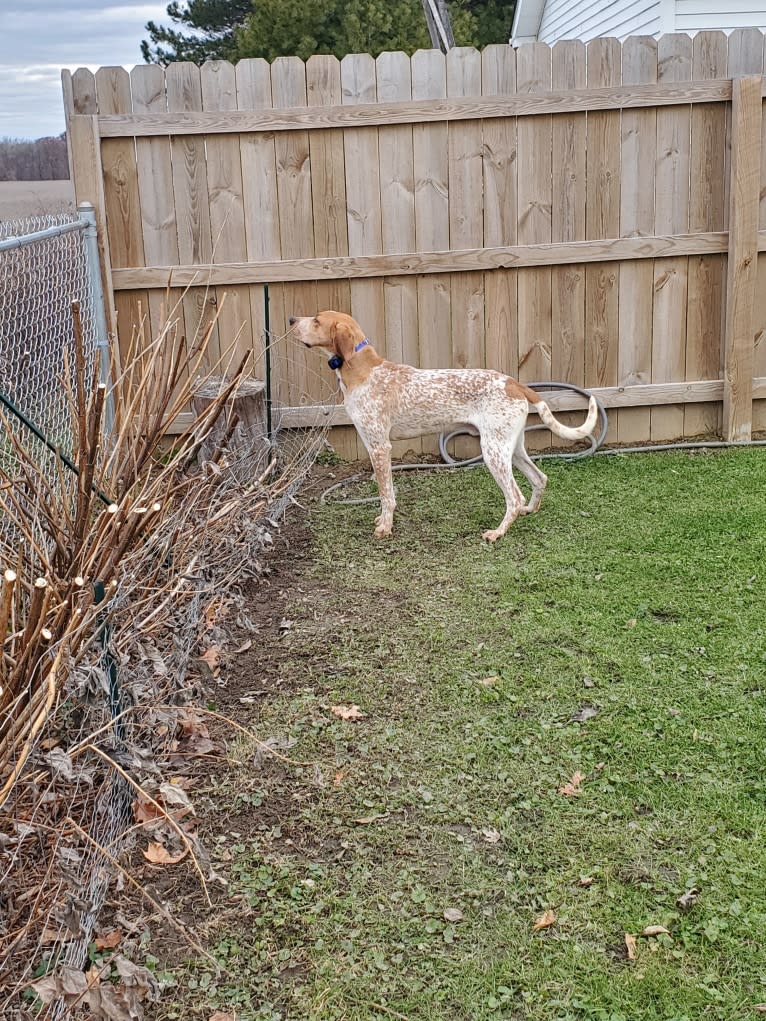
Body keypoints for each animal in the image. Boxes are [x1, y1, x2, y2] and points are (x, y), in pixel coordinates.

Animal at [290, 310, 596, 543]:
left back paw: (498, 533)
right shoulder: (374, 446)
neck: (364, 370)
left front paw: (385, 527)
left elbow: (386, 494)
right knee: (539, 478)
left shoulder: (379, 447)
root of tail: (514, 382)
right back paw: (529, 510)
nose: (292, 319)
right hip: (511, 447)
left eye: (316, 320)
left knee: (514, 496)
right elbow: (387, 492)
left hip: (493, 452)